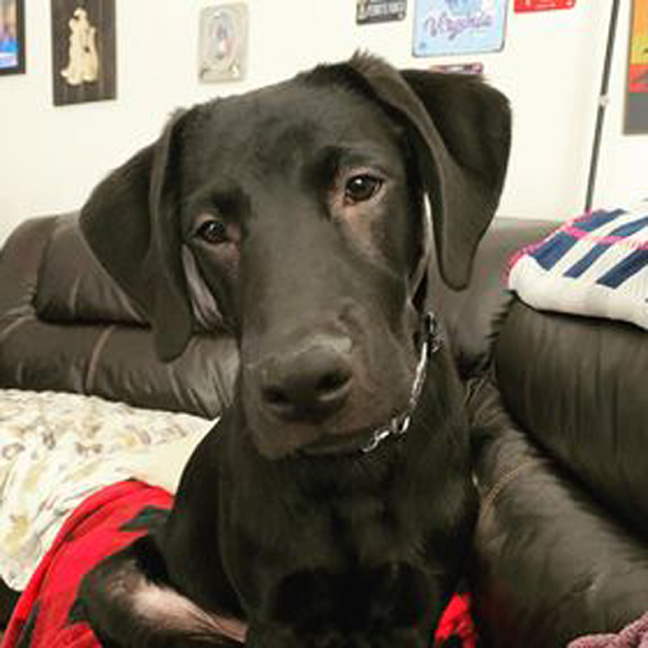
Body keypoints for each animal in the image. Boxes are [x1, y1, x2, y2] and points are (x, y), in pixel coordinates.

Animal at [76, 53, 511, 647]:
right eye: (211, 230)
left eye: (361, 185)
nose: (304, 384)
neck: (353, 469)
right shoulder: (279, 612)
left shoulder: (415, 606)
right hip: (122, 591)